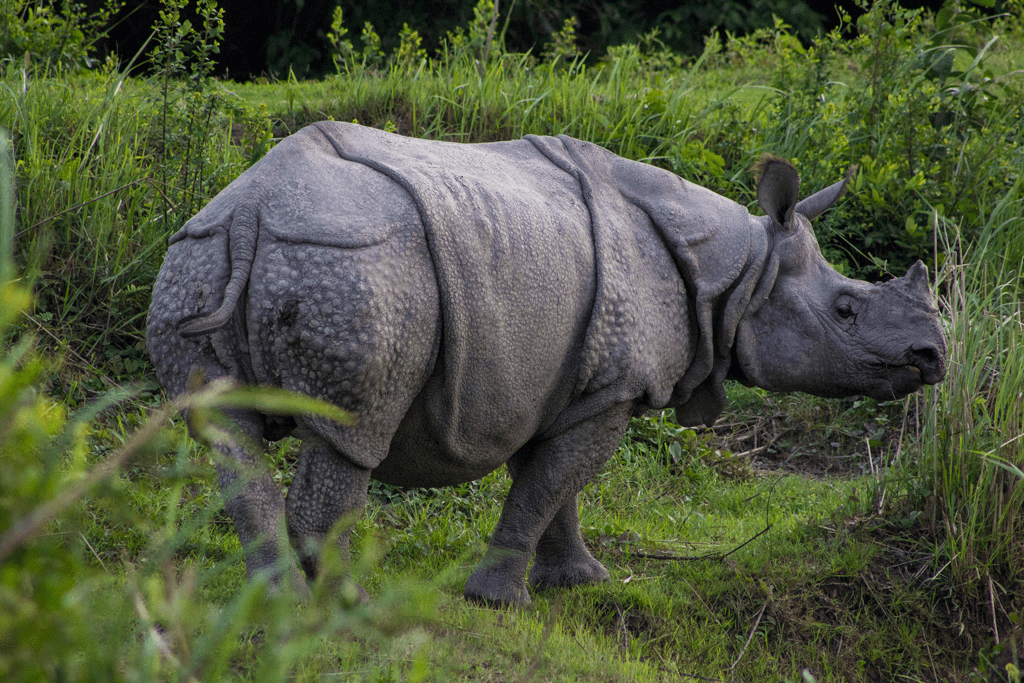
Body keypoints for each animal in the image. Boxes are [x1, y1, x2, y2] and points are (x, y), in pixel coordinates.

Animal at [147, 121, 947, 607]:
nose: (932, 356)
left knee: (226, 434)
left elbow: (555, 486)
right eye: (845, 309)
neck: (740, 274)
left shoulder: (569, 381)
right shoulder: (616, 386)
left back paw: (273, 602)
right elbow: (551, 483)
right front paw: (499, 599)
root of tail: (251, 211)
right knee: (350, 433)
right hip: (354, 269)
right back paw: (352, 607)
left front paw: (579, 580)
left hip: (198, 255)